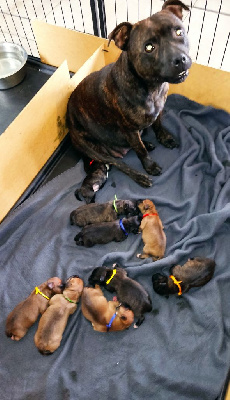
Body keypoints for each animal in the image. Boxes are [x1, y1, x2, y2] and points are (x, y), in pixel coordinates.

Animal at [67, 1, 192, 189]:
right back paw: (140, 176)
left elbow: (158, 125)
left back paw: (147, 143)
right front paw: (149, 166)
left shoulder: (159, 111)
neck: (152, 87)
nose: (180, 59)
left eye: (179, 32)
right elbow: (140, 151)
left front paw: (164, 138)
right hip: (95, 150)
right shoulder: (129, 129)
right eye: (149, 47)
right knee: (122, 163)